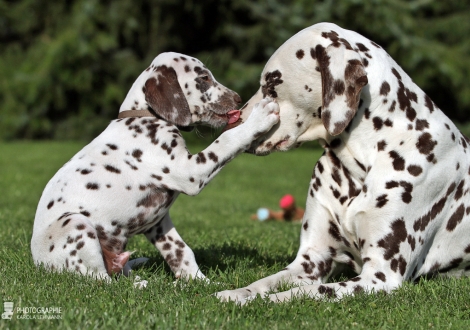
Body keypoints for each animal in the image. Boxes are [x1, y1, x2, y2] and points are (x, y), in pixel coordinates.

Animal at [32, 51, 280, 284]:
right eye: (204, 78)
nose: (238, 98)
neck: (144, 116)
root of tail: (39, 265)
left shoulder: (158, 223)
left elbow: (181, 252)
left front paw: (201, 283)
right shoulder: (191, 171)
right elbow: (227, 140)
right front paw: (260, 117)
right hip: (75, 224)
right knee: (99, 279)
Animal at [217, 21, 470, 302]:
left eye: (272, 82)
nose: (232, 121)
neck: (361, 162)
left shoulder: (380, 276)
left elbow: (302, 293)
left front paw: (264, 301)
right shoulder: (310, 260)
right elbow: (263, 283)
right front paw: (236, 294)